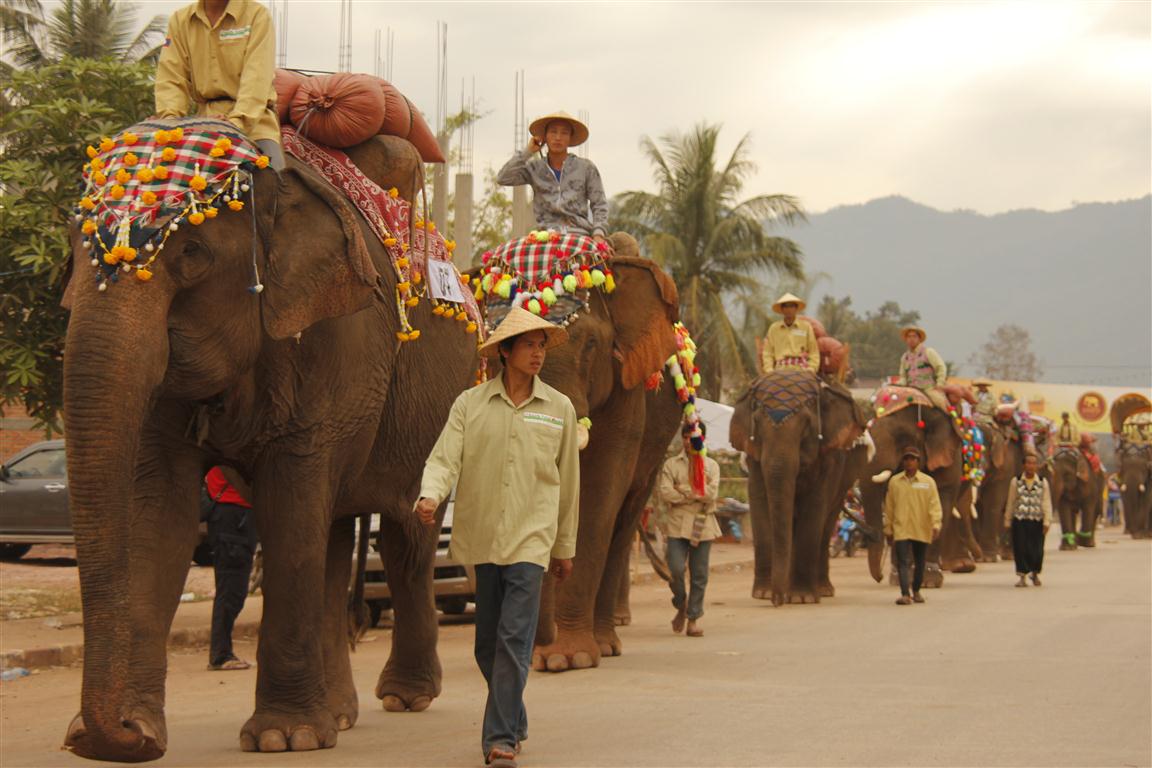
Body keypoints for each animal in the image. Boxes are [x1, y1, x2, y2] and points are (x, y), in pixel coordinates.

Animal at [57, 121, 472, 764]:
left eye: (192, 255)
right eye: (73, 256)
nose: (113, 733)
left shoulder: (338, 338)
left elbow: (290, 506)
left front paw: (283, 738)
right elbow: (162, 512)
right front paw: (136, 732)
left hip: (440, 406)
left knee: (407, 535)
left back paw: (405, 698)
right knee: (333, 536)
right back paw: (341, 714)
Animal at [723, 373, 866, 607]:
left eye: (807, 426)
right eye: (757, 424)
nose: (777, 601)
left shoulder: (827, 458)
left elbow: (814, 506)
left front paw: (801, 598)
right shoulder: (754, 457)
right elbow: (760, 504)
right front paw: (763, 594)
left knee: (826, 526)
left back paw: (822, 590)